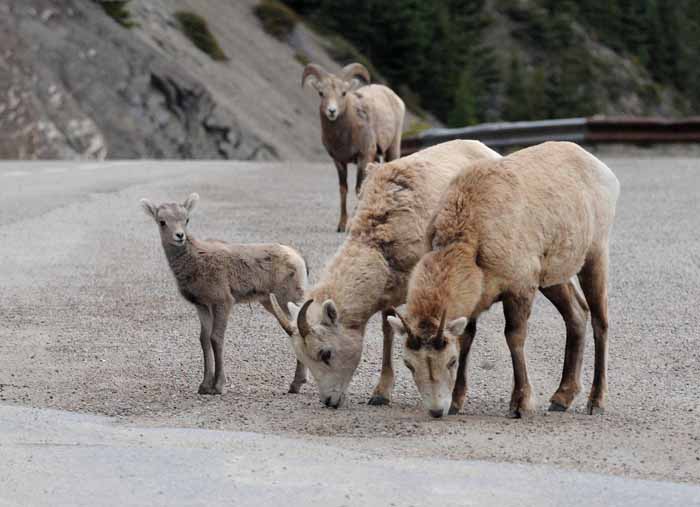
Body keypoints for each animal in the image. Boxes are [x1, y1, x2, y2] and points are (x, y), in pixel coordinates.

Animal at [141, 194, 308, 396]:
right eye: (162, 221)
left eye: (186, 219)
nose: (179, 236)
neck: (194, 261)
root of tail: (298, 258)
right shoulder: (202, 306)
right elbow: (204, 339)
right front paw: (204, 386)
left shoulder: (223, 301)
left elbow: (216, 338)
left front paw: (218, 386)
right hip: (273, 302)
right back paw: (296, 385)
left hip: (288, 297)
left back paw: (297, 384)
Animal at [268, 139, 504, 408]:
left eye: (325, 353)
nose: (329, 401)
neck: (379, 239)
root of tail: (483, 147)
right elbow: (388, 332)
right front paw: (381, 393)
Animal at [300, 61, 404, 232]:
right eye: (321, 93)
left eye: (343, 93)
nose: (332, 111)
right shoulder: (339, 161)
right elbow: (344, 189)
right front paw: (341, 225)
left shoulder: (363, 157)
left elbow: (359, 188)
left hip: (392, 149)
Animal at [388, 142, 624, 420]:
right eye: (408, 364)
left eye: (450, 361)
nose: (436, 410)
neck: (471, 243)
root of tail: (604, 170)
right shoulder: (479, 299)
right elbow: (467, 337)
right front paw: (457, 402)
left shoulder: (519, 286)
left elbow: (514, 337)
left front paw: (521, 404)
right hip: (551, 276)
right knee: (577, 313)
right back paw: (561, 398)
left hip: (595, 254)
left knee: (600, 320)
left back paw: (596, 402)